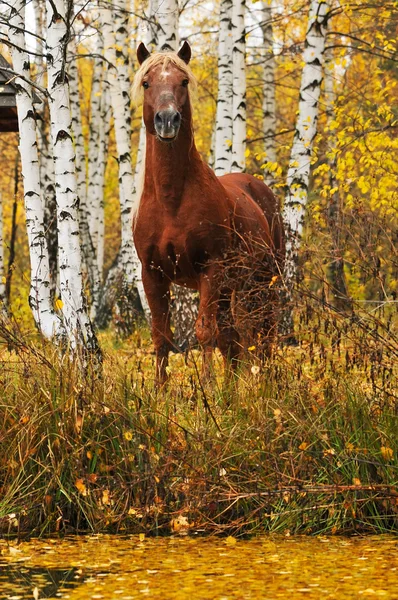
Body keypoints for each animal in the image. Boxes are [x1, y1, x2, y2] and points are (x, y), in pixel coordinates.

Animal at [132, 42, 284, 384]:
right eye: (146, 83)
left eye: (183, 81)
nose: (167, 121)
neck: (171, 202)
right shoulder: (152, 274)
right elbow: (161, 336)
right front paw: (160, 394)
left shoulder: (210, 269)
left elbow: (204, 332)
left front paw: (209, 390)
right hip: (230, 288)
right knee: (233, 338)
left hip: (264, 281)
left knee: (264, 332)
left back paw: (266, 385)